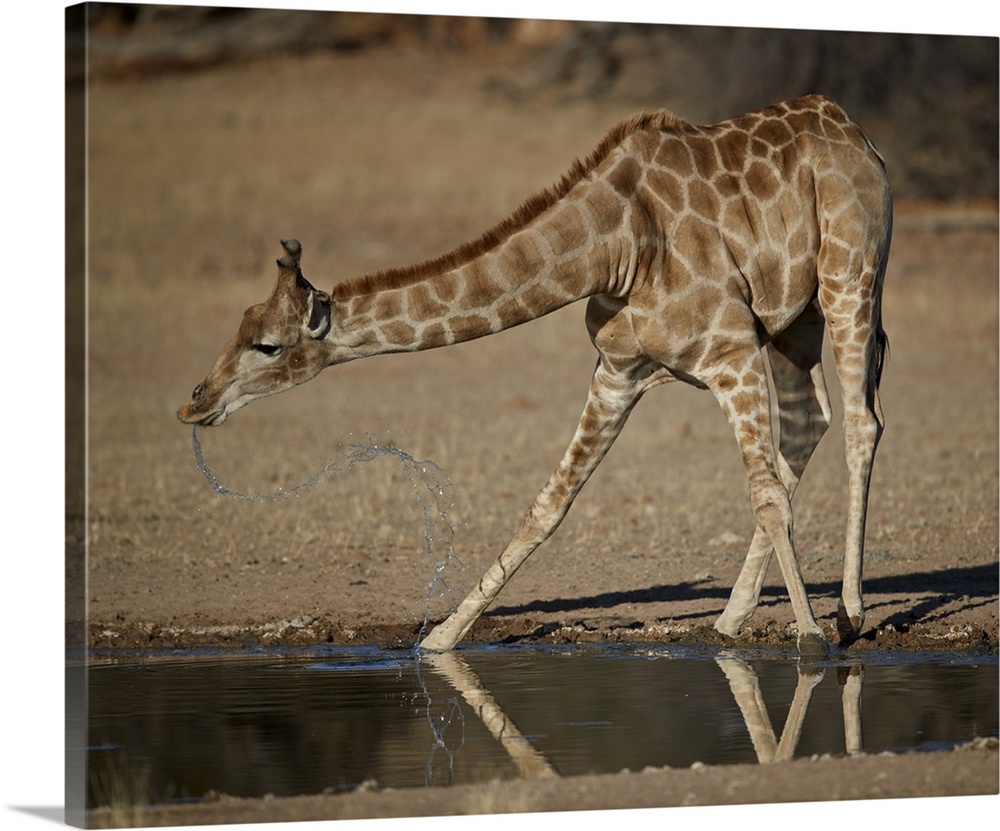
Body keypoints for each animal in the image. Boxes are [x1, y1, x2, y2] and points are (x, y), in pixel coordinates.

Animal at [178, 96, 892, 656]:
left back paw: (847, 613)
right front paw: (441, 641)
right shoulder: (619, 372)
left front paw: (809, 639)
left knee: (860, 423)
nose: (194, 404)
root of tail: (861, 137)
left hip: (849, 277)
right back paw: (731, 619)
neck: (617, 248)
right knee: (810, 423)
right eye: (238, 324)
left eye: (267, 345)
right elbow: (547, 506)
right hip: (793, 322)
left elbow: (765, 495)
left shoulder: (730, 353)